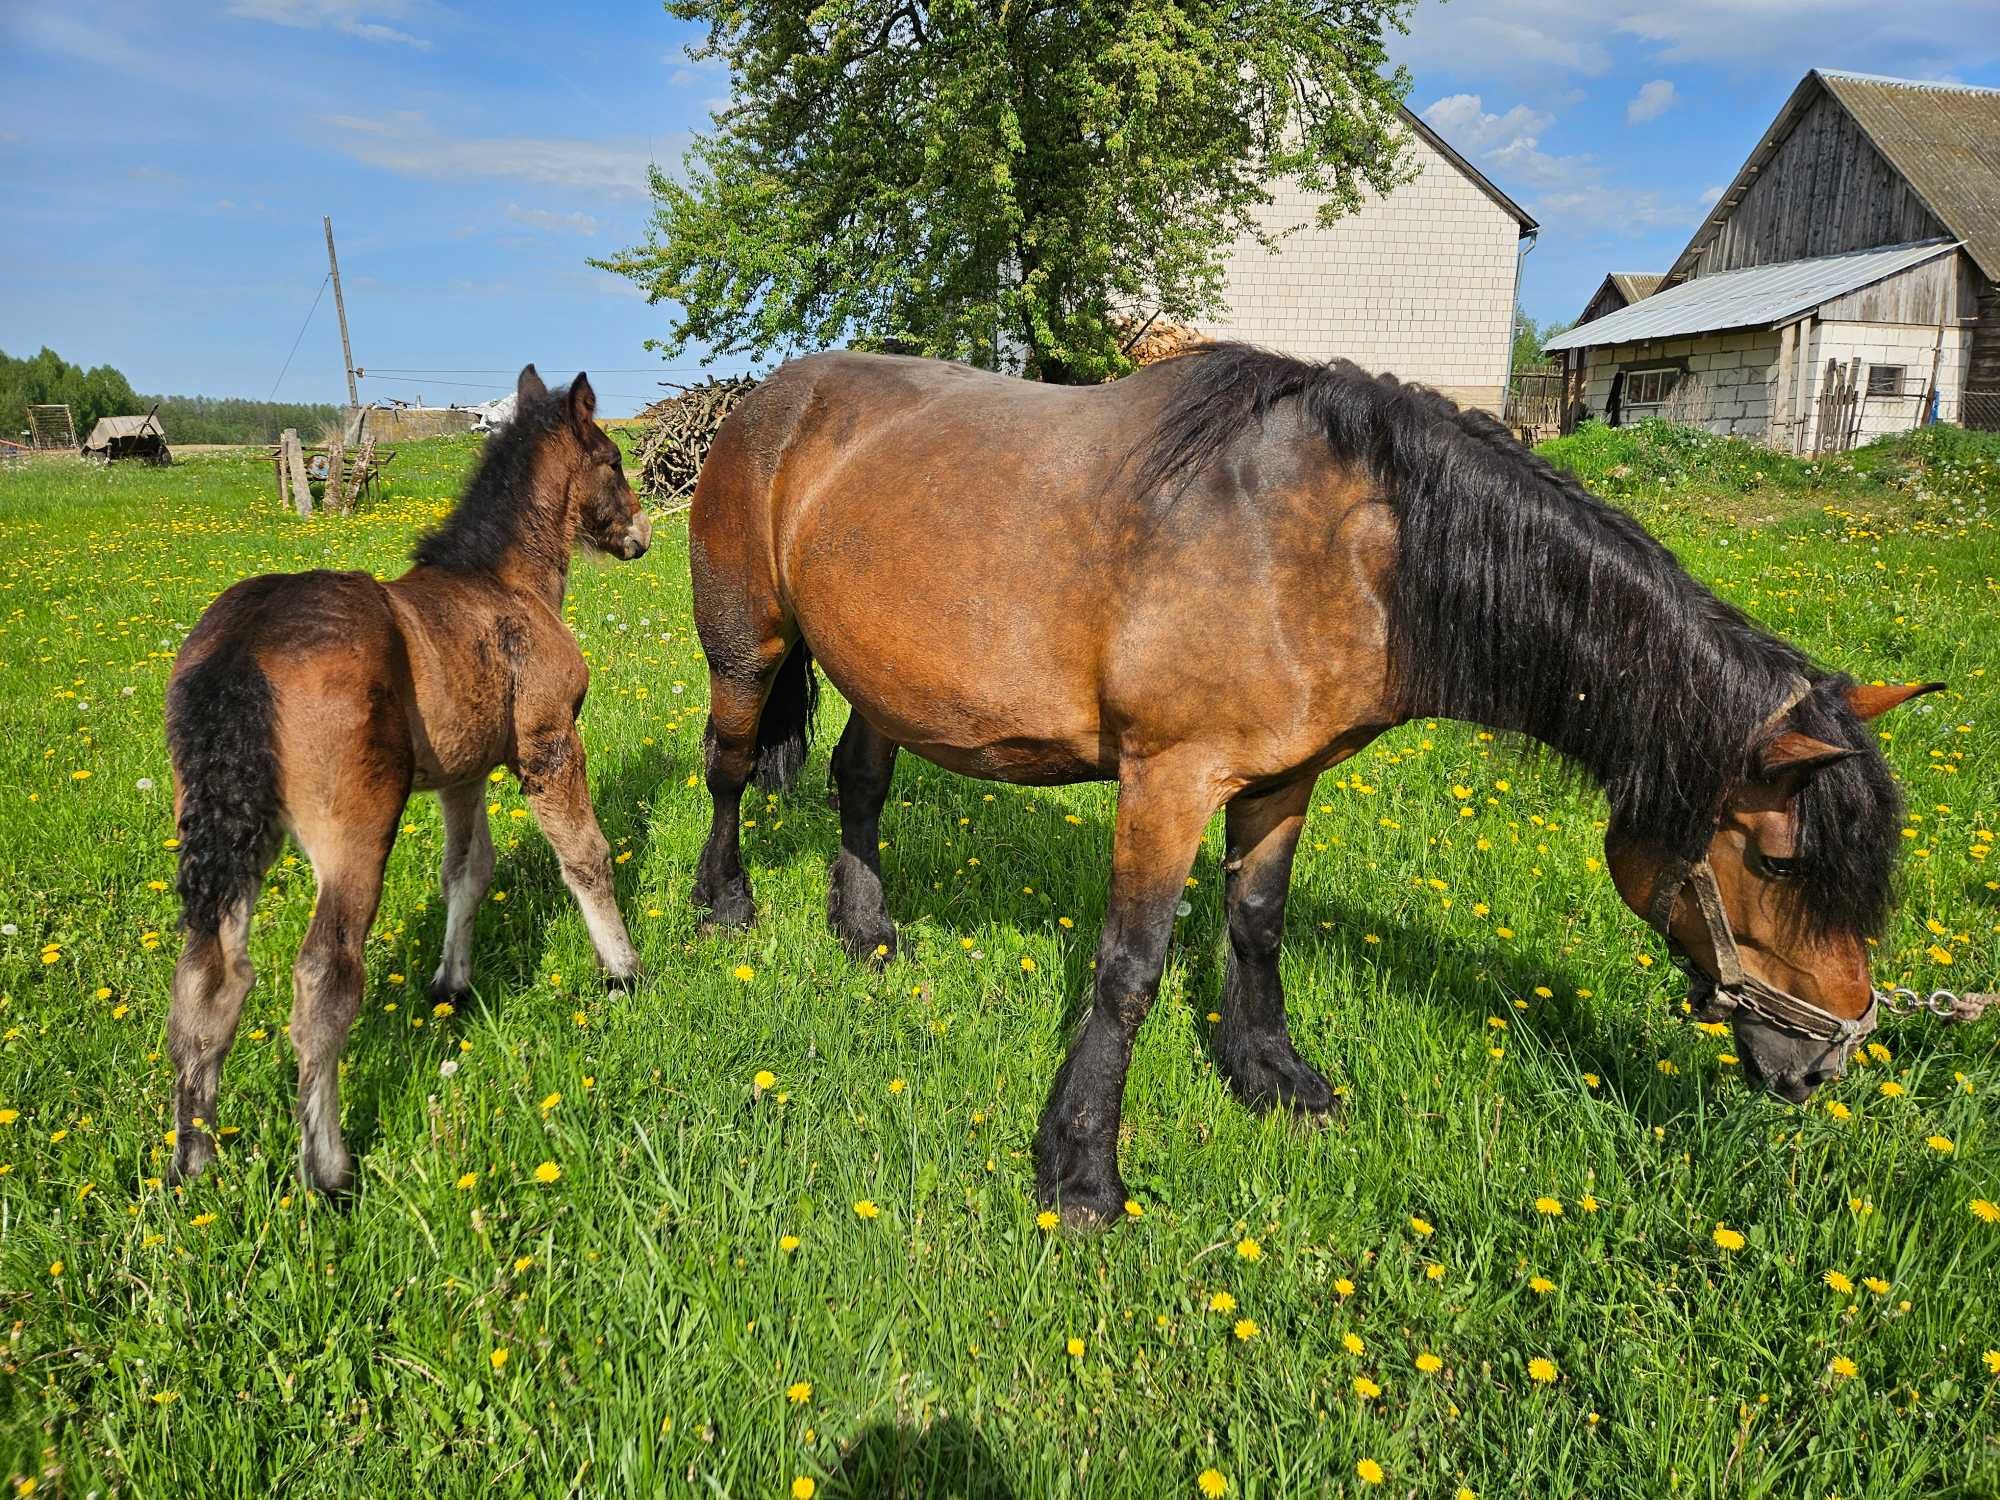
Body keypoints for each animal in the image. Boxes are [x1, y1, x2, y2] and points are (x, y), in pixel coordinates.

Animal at [166, 370, 648, 1192]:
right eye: (613, 460)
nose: (639, 535)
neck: (507, 585)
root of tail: (242, 646)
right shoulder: (547, 744)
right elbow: (586, 856)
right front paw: (622, 973)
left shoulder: (463, 776)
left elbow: (468, 871)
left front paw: (452, 984)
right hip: (356, 829)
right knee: (322, 974)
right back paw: (328, 1168)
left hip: (233, 831)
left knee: (209, 974)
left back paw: (194, 1164)